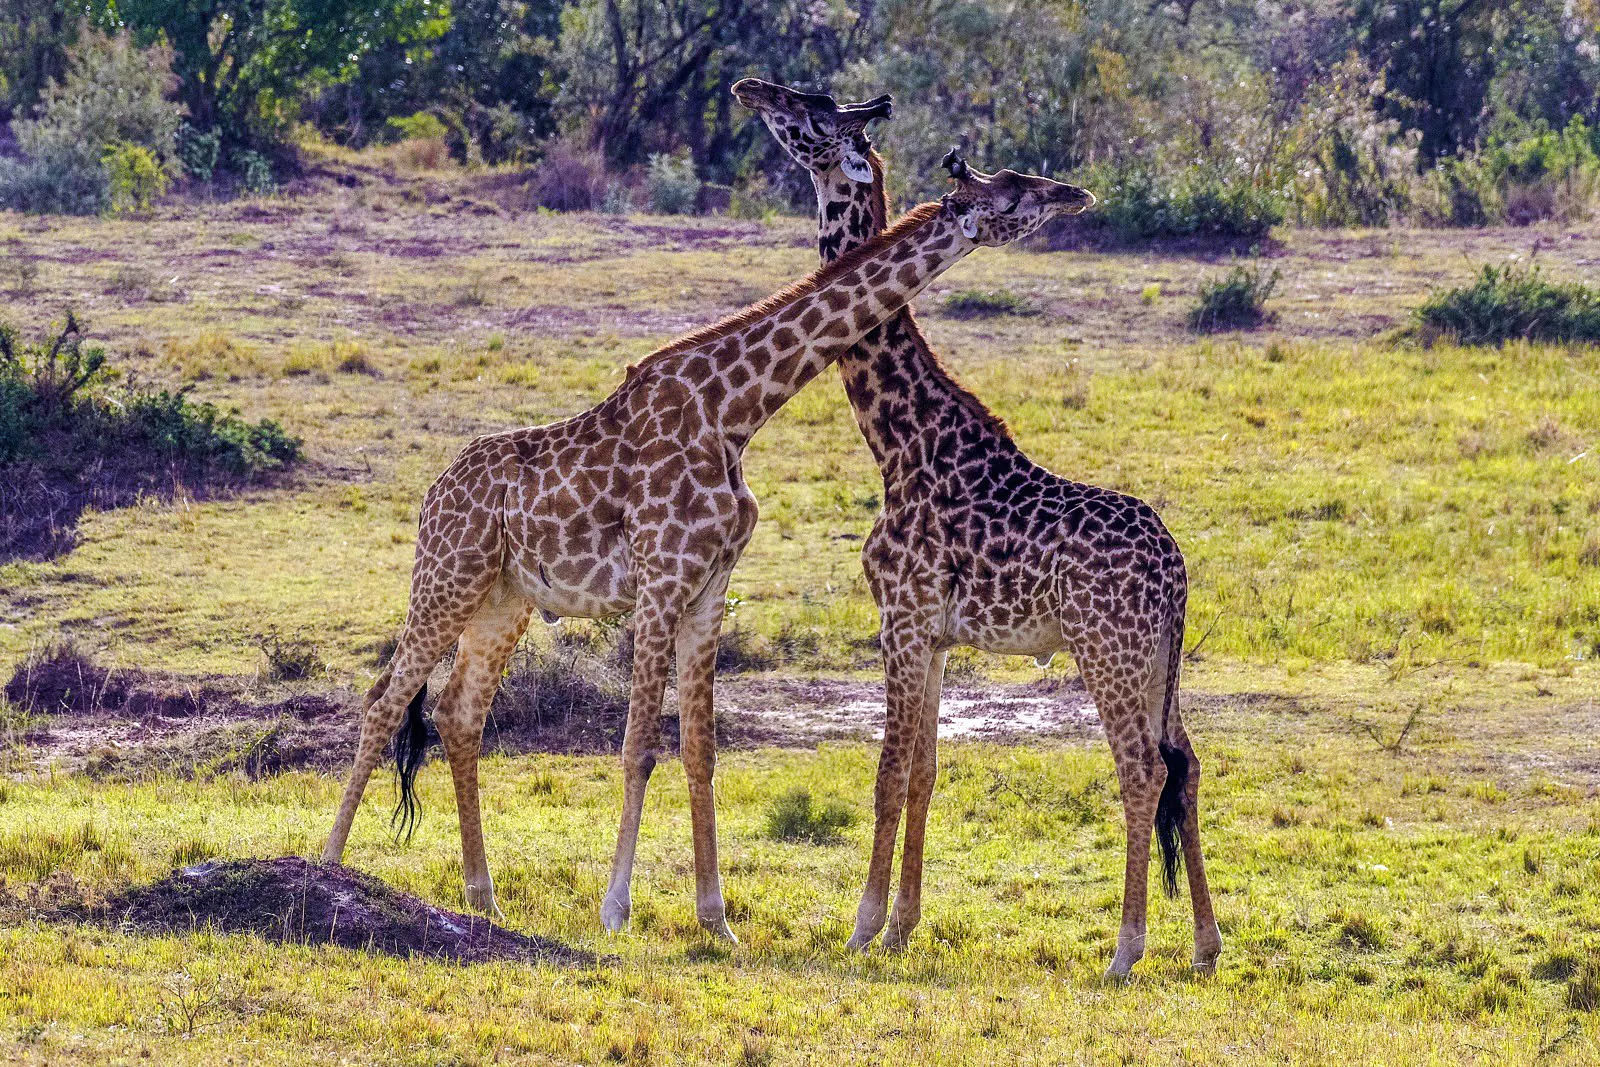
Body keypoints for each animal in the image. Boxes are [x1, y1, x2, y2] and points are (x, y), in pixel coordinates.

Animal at [320, 160, 1095, 943]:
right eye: (1014, 194)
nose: (1078, 195)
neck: (737, 411)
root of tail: (432, 493)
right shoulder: (662, 577)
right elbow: (638, 746)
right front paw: (615, 909)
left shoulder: (708, 586)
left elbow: (700, 748)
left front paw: (716, 920)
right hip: (447, 574)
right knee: (384, 700)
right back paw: (331, 864)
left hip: (503, 599)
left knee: (458, 715)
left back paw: (484, 895)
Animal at [733, 78, 1222, 978]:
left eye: (811, 113)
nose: (750, 88)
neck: (898, 440)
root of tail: (1176, 573)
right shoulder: (934, 634)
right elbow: (924, 770)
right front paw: (902, 925)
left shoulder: (900, 616)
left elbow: (886, 769)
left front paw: (861, 925)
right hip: (1159, 660)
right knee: (1188, 763)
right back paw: (1206, 943)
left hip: (1108, 648)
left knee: (1140, 769)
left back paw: (1126, 949)